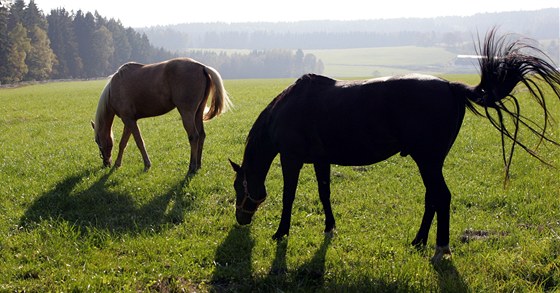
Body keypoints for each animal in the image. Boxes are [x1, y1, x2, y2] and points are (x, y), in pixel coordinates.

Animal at [92, 58, 232, 175]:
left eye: (97, 141)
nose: (106, 163)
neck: (113, 89)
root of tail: (202, 67)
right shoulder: (129, 120)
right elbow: (123, 143)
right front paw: (117, 164)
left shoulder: (129, 120)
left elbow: (139, 142)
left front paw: (147, 164)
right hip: (198, 112)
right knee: (202, 135)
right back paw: (198, 165)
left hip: (187, 113)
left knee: (194, 136)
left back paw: (191, 166)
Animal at [230, 29, 560, 262]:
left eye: (237, 187)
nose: (240, 220)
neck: (287, 109)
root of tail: (451, 87)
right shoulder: (321, 160)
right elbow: (325, 194)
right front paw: (329, 227)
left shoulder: (292, 158)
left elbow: (288, 197)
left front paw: (281, 232)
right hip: (431, 161)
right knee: (432, 197)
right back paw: (418, 241)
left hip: (427, 160)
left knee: (441, 196)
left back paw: (440, 248)